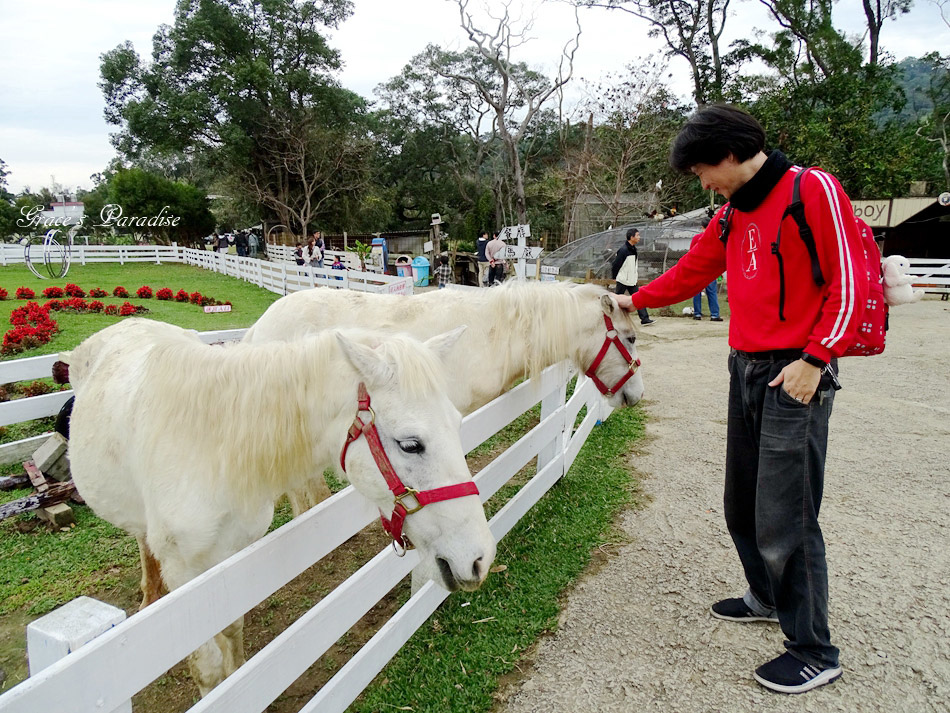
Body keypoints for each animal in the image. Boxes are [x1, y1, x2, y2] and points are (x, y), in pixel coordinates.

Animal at [66, 318, 494, 696]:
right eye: (410, 444)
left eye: (457, 423)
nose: (480, 558)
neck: (213, 449)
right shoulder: (184, 575)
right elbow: (206, 668)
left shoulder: (229, 558)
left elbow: (232, 630)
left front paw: (237, 679)